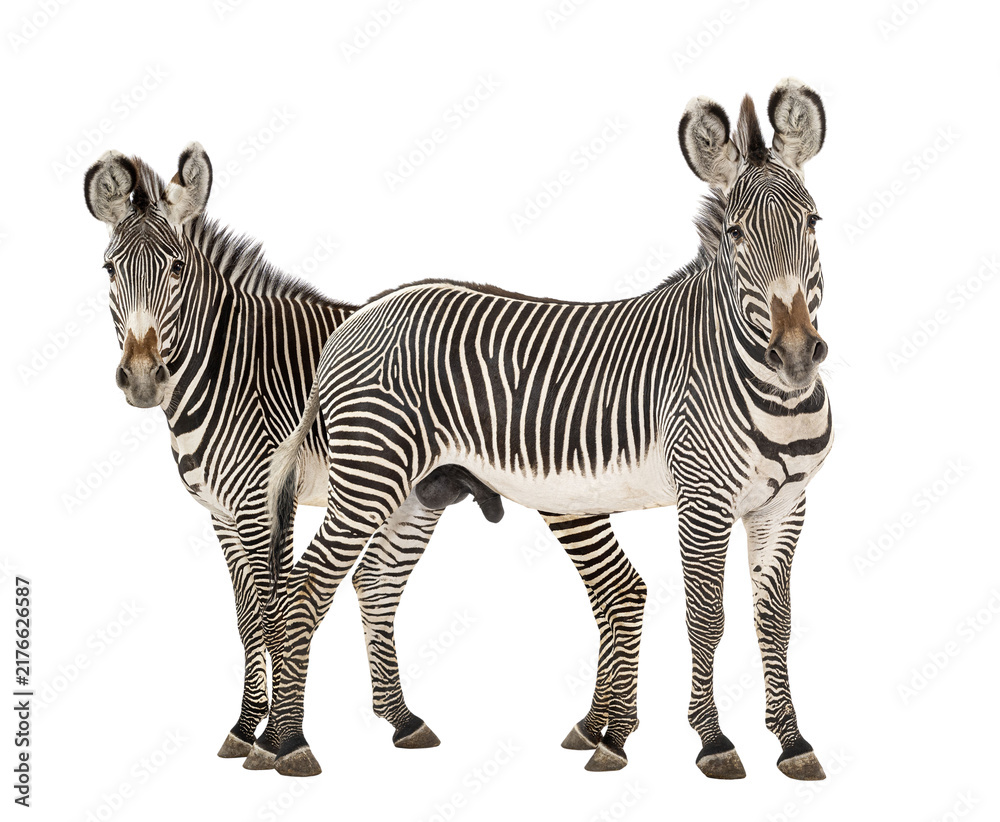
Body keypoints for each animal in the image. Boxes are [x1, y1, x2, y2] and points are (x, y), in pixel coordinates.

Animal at [83, 144, 638, 772]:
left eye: (176, 268)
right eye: (109, 270)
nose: (142, 379)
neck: (226, 367)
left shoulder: (261, 502)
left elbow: (271, 609)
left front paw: (272, 735)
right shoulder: (219, 513)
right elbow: (248, 617)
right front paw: (246, 728)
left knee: (609, 590)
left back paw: (602, 729)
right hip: (420, 491)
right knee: (386, 584)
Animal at [266, 78, 833, 781]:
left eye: (812, 223)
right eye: (735, 233)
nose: (797, 354)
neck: (771, 394)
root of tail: (361, 316)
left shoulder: (787, 504)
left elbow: (775, 622)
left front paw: (793, 741)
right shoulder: (703, 498)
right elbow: (706, 617)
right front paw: (713, 741)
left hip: (416, 490)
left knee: (373, 583)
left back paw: (399, 723)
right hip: (368, 476)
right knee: (304, 588)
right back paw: (287, 742)